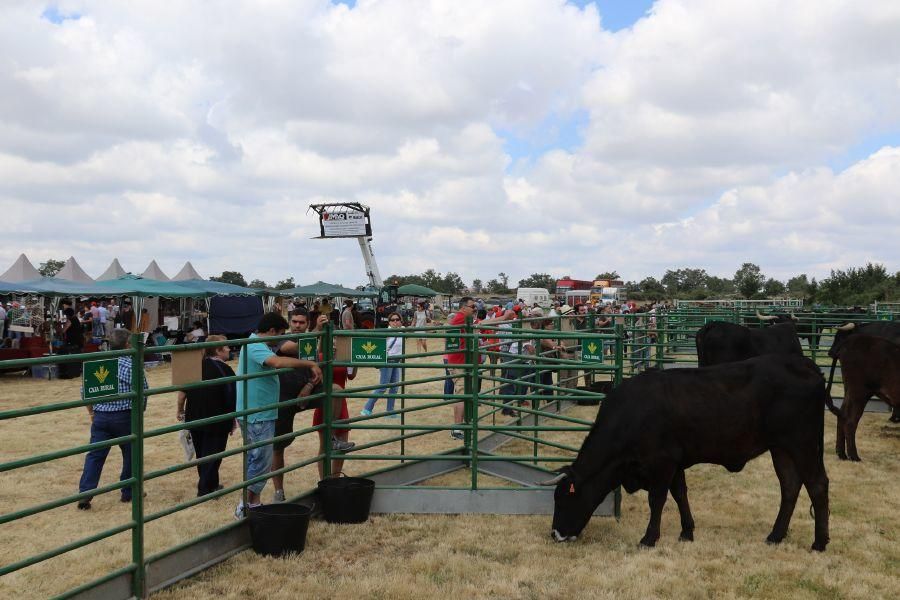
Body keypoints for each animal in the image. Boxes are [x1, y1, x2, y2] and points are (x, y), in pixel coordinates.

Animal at [540, 356, 828, 552]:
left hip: (802, 444)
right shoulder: (675, 462)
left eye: (562, 498)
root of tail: (804, 364)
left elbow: (657, 499)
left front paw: (649, 538)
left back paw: (819, 542)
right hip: (782, 449)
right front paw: (687, 531)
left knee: (817, 485)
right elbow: (680, 494)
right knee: (790, 486)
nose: (555, 534)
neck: (633, 414)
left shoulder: (661, 463)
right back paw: (775, 535)